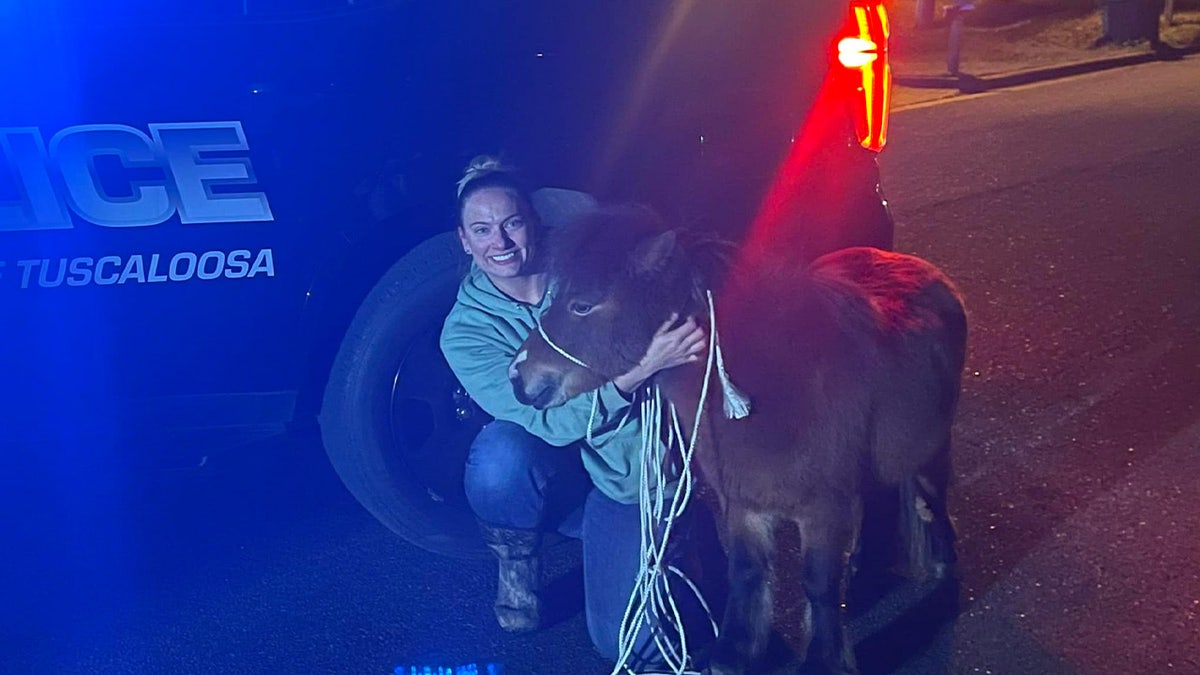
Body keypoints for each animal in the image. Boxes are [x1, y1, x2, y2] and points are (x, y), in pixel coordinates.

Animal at [508, 206, 964, 672]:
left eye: (582, 305)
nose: (518, 375)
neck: (777, 384)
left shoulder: (822, 508)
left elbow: (817, 584)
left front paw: (824, 660)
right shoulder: (745, 506)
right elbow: (747, 572)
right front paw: (735, 653)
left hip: (932, 448)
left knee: (932, 494)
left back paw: (942, 564)